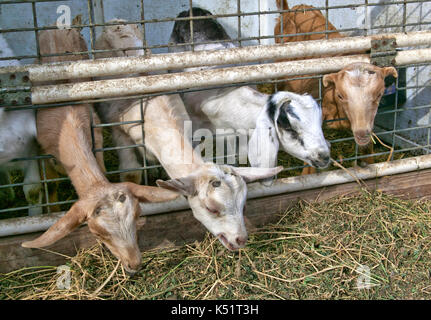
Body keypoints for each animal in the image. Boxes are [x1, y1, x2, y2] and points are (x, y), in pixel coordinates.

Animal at [21, 27, 181, 276]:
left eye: (137, 216)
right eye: (97, 233)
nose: (134, 265)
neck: (66, 117)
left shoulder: (94, 134)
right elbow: (46, 185)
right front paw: (52, 207)